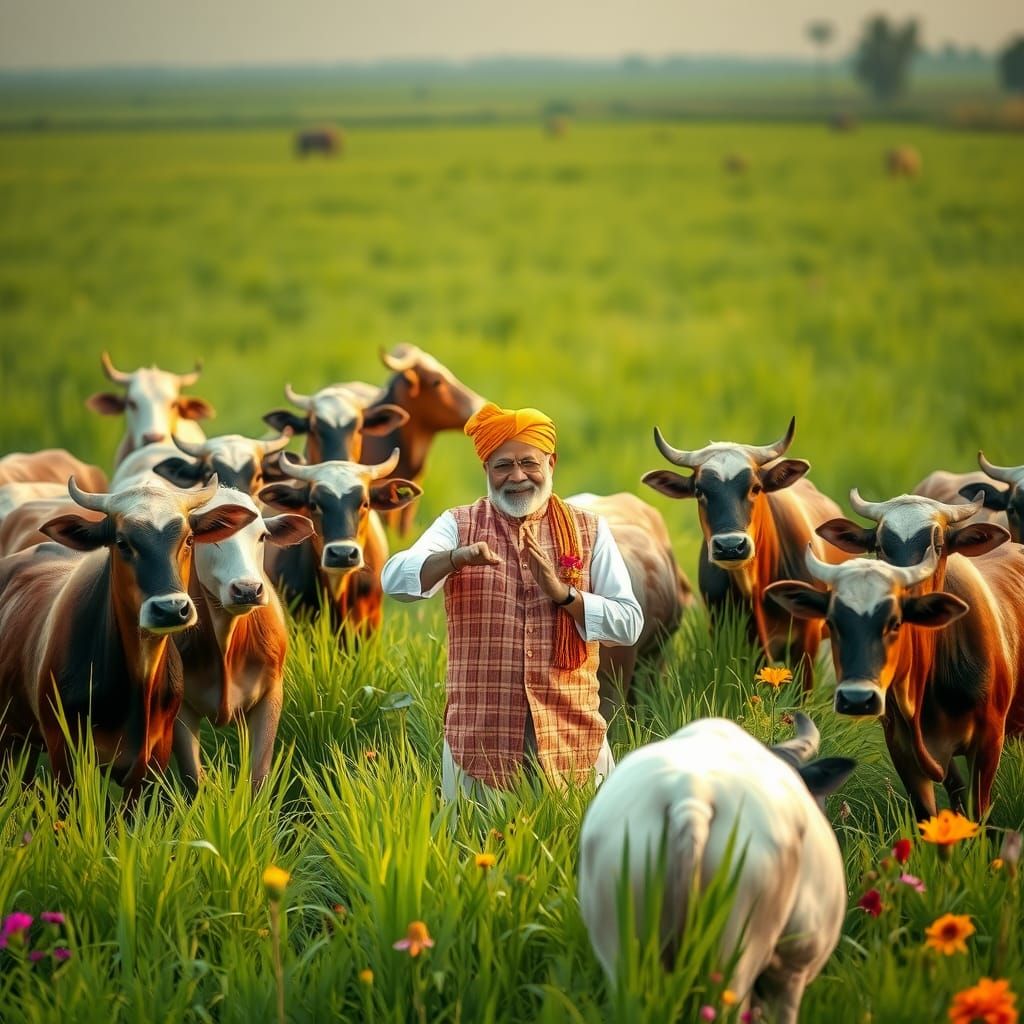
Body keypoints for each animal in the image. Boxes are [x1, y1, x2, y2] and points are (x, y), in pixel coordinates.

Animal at [766, 547, 1024, 819]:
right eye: (831, 622)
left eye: (896, 623)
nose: (856, 699)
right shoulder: (901, 747)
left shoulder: (989, 741)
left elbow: (978, 814)